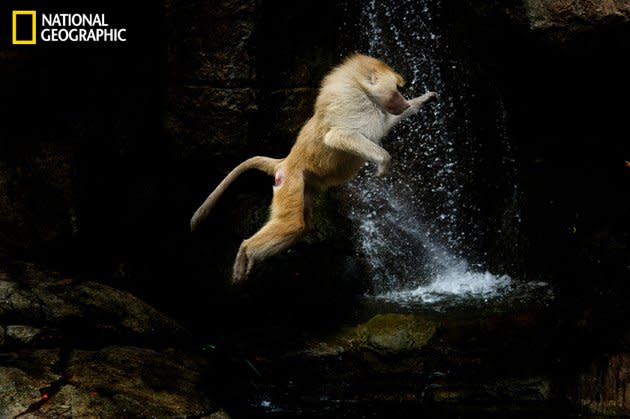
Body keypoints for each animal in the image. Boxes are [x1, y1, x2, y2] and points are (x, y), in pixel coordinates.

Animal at [193, 52, 440, 282]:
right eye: (396, 89)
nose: (405, 103)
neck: (362, 91)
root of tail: (286, 161)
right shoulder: (355, 109)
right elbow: (338, 136)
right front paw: (383, 164)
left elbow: (387, 121)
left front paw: (425, 99)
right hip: (290, 182)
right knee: (292, 224)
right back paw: (246, 251)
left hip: (305, 185)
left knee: (301, 227)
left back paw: (251, 257)